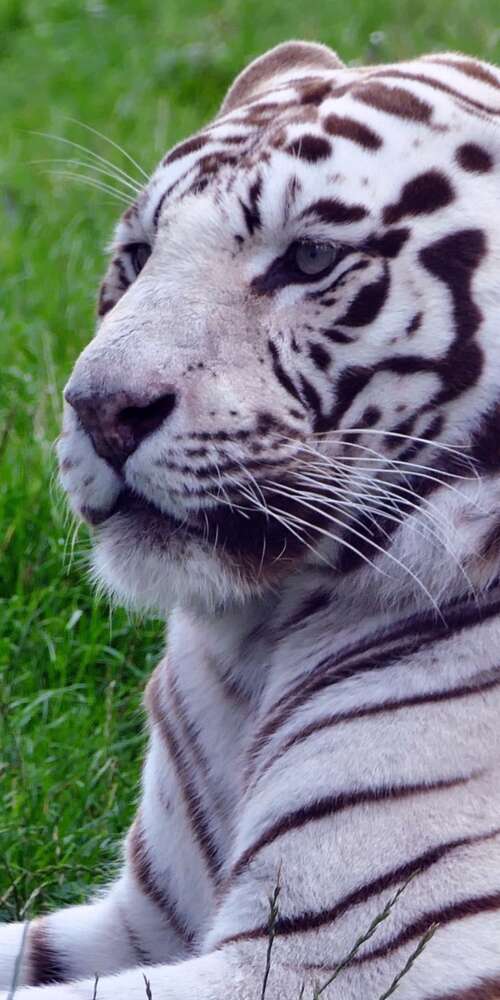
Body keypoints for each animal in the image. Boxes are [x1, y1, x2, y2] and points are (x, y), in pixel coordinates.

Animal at [3, 36, 500, 1000]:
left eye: (309, 259)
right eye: (138, 254)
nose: (100, 409)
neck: (259, 643)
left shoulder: (341, 955)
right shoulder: (143, 920)